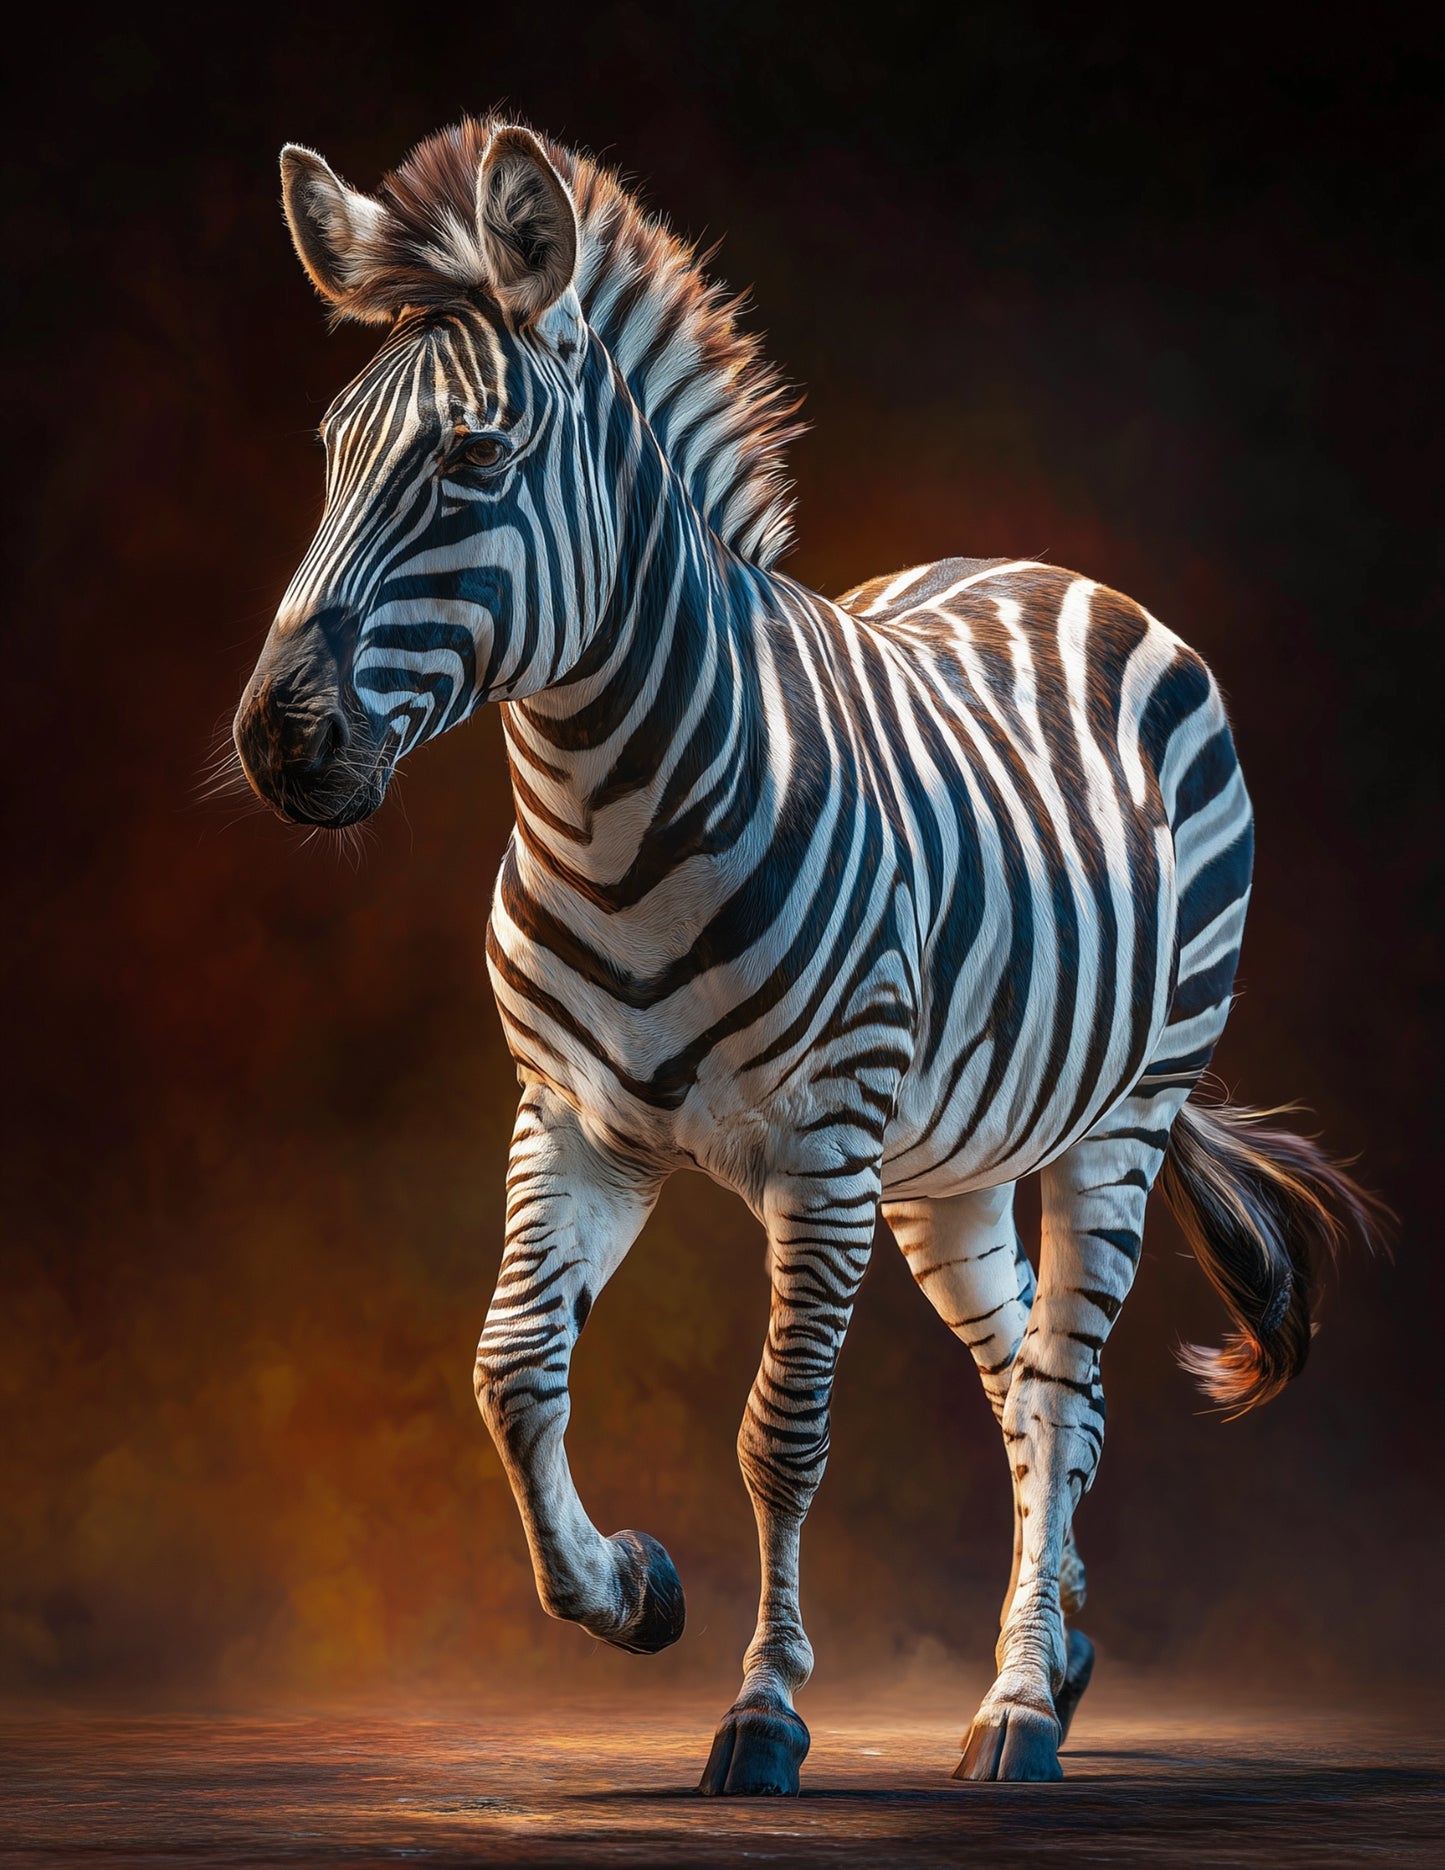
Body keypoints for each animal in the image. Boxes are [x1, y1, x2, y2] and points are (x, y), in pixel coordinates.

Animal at [233, 117, 1385, 1792]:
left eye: (476, 463)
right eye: (328, 454)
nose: (277, 743)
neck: (611, 812)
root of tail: (1061, 573)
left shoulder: (821, 1153)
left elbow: (780, 1435)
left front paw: (764, 1706)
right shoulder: (574, 1120)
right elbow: (512, 1367)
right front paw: (628, 1589)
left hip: (1114, 1118)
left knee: (1064, 1388)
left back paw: (1017, 1705)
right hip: (950, 1165)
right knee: (1030, 1396)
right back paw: (1060, 1648)